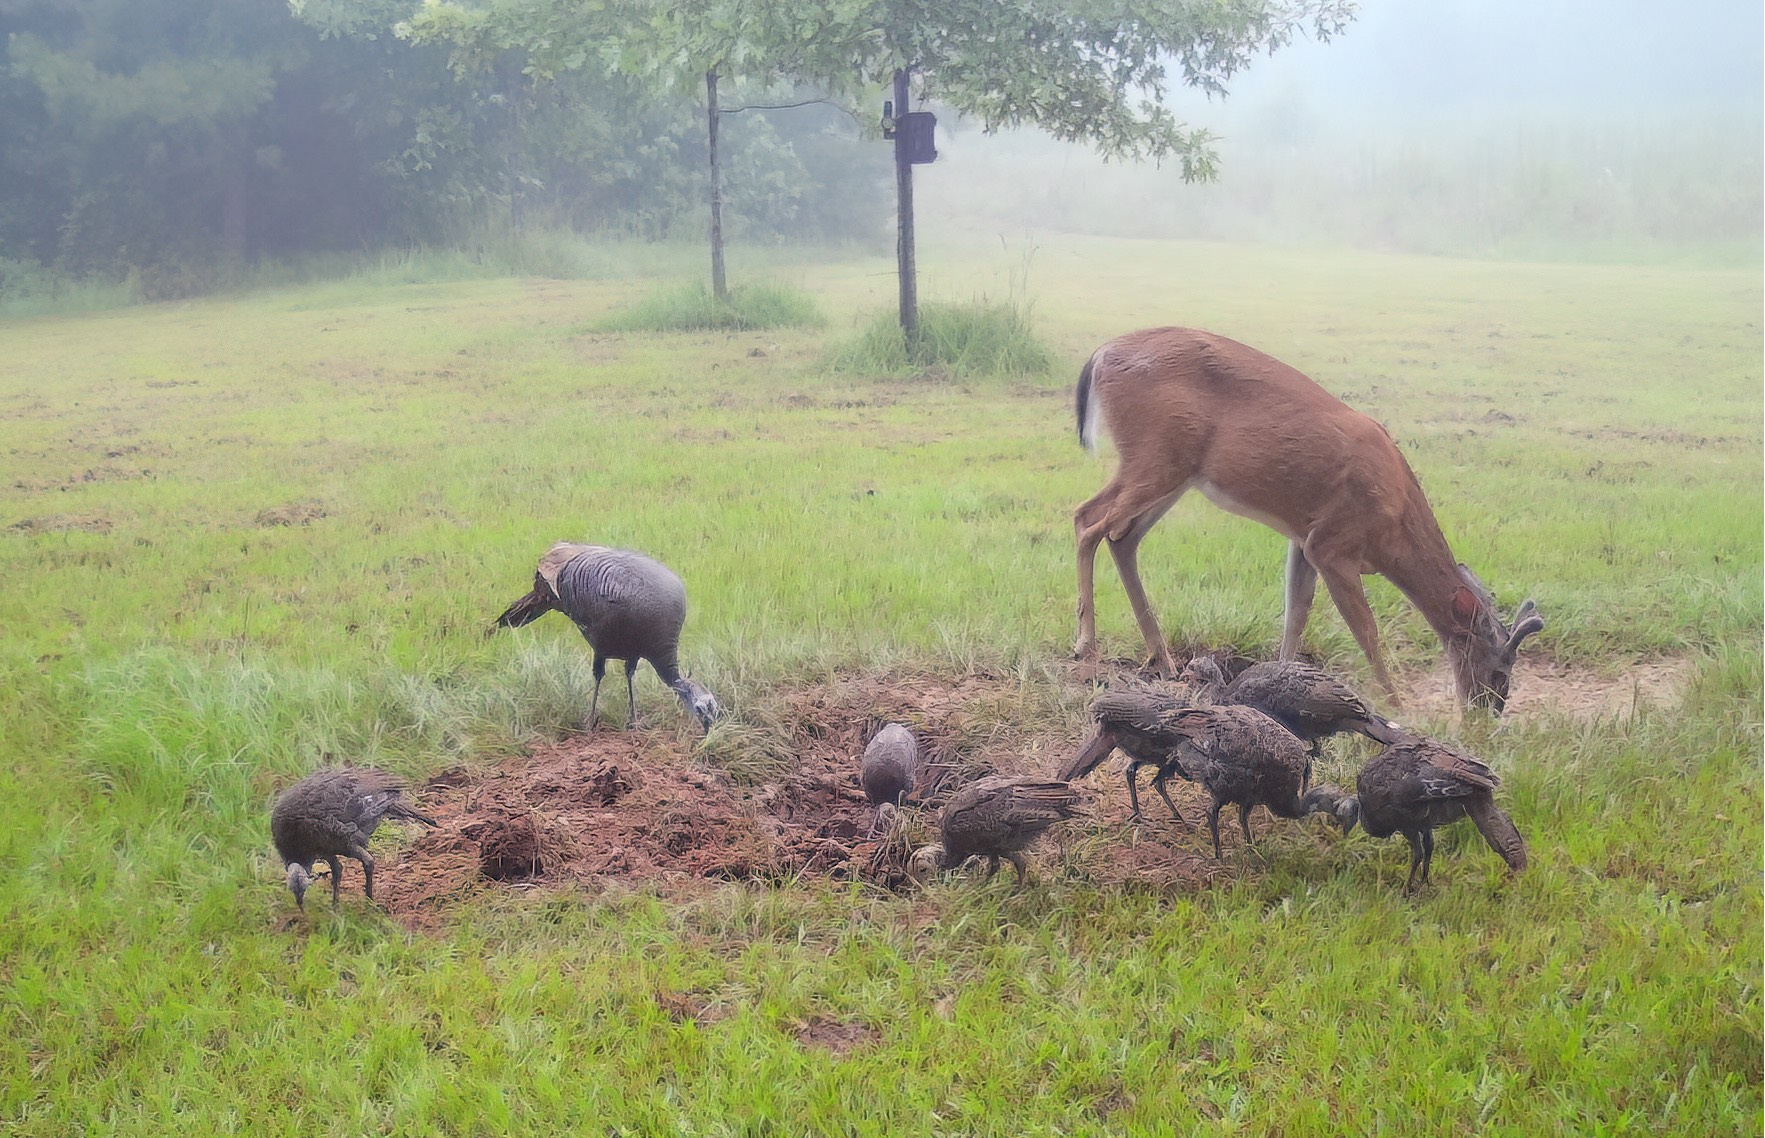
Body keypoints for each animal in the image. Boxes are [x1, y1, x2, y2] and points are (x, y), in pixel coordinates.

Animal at [1066, 324, 1539, 705]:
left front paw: (1280, 683)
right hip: (1155, 455)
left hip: (1174, 471)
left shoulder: (1303, 538)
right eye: (1499, 670)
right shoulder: (1333, 544)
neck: (1393, 529)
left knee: (1122, 537)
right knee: (1087, 519)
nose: (1488, 712)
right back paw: (1087, 654)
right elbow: (1366, 632)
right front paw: (1397, 706)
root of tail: (1100, 353)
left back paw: (1162, 659)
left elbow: (1296, 614)